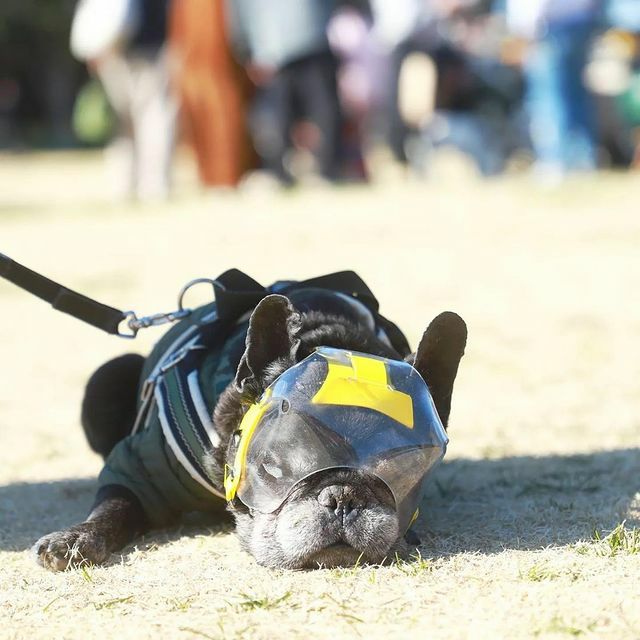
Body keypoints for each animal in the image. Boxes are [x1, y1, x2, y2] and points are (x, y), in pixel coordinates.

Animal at [34, 271, 467, 571]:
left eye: (403, 473)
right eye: (276, 467)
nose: (343, 497)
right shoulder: (140, 467)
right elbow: (116, 503)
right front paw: (76, 538)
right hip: (105, 380)